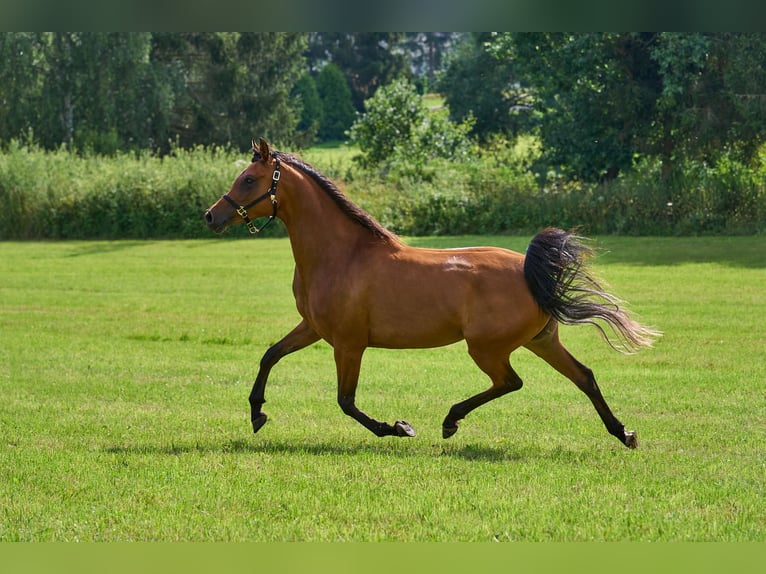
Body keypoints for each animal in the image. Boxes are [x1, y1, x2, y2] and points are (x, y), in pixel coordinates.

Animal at [204, 139, 659, 449]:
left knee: (511, 382)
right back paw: (624, 433)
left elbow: (346, 401)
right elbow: (270, 355)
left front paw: (399, 427)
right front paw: (257, 413)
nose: (211, 216)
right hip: (541, 340)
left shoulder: (349, 344)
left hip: (487, 348)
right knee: (584, 376)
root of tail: (532, 271)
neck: (342, 254)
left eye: (248, 179)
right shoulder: (313, 328)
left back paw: (450, 420)